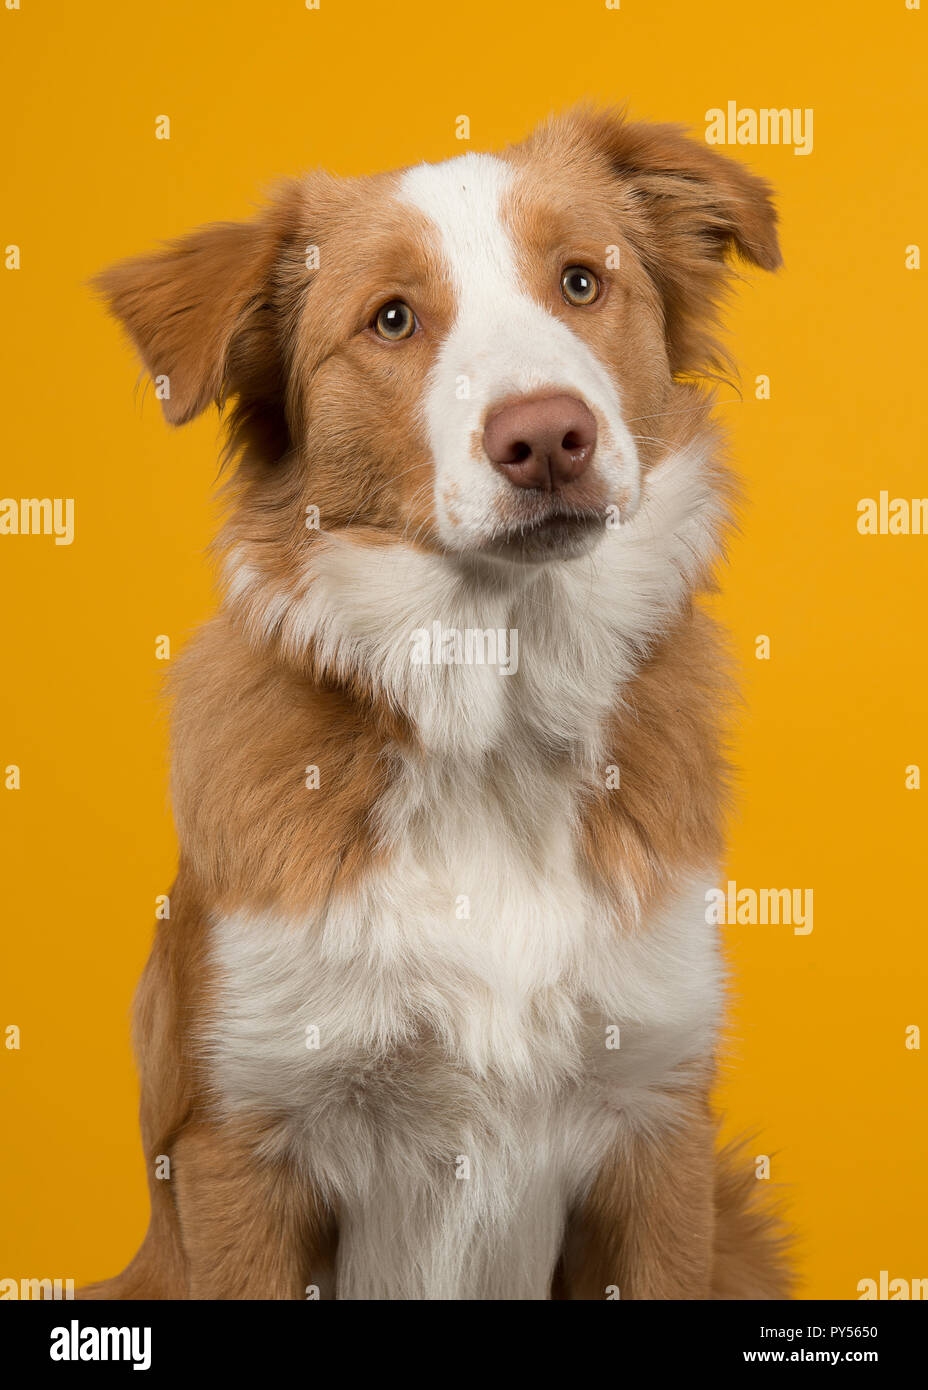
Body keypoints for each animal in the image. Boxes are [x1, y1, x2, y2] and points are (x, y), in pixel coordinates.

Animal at [81, 108, 789, 1301]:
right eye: (392, 319)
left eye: (582, 281)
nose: (546, 436)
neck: (491, 723)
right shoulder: (240, 1149)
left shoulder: (655, 1128)